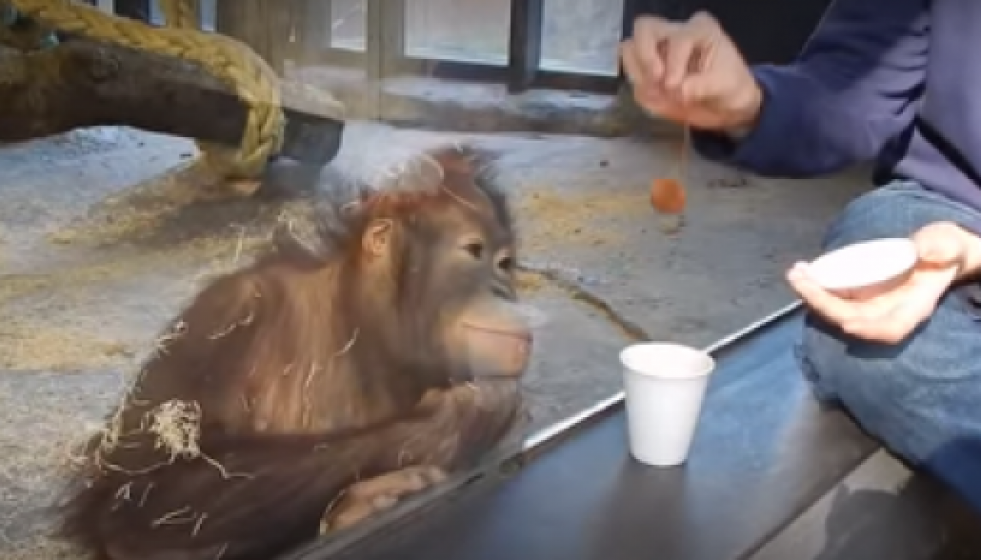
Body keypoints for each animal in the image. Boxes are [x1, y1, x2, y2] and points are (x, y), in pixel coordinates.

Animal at [55, 145, 535, 560]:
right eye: (473, 251)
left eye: (505, 263)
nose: (503, 291)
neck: (361, 323)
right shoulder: (224, 316)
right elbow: (140, 498)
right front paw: (468, 411)